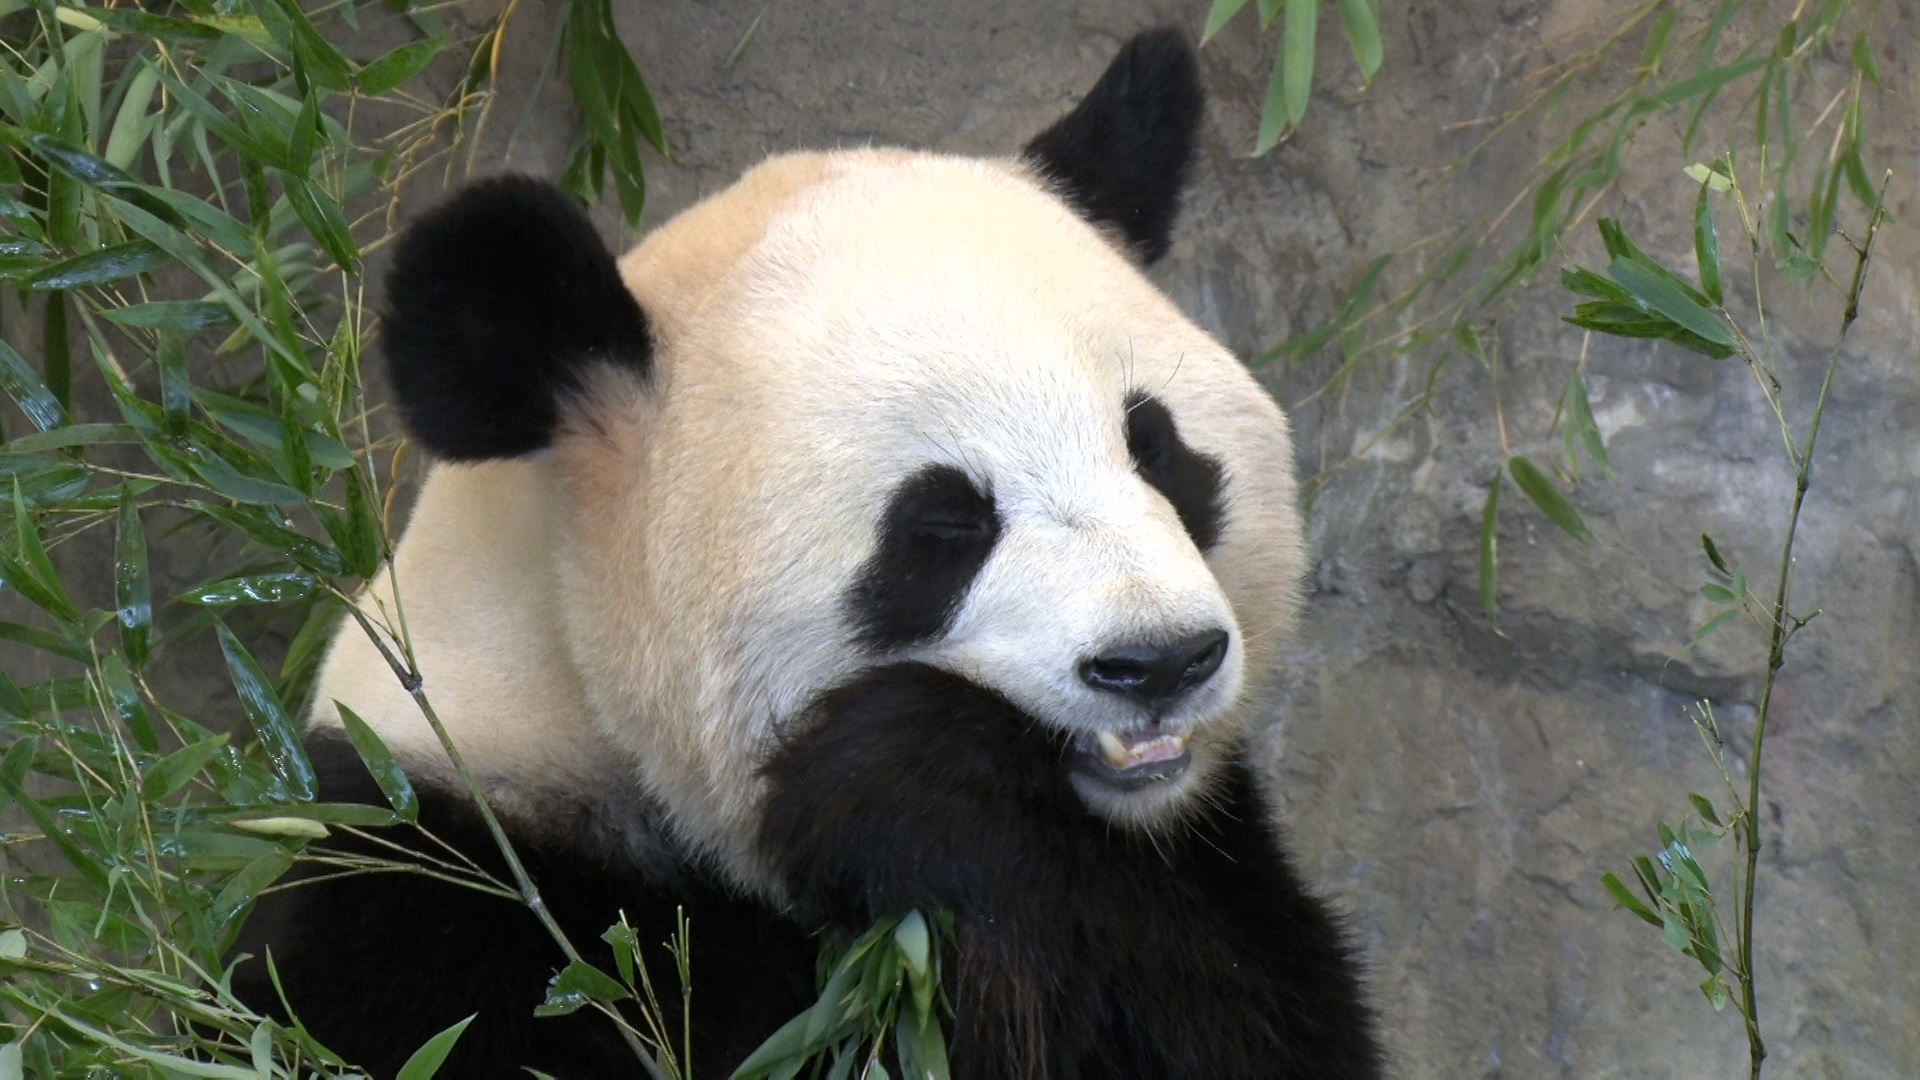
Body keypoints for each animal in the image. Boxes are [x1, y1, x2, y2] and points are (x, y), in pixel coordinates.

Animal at [236, 29, 1382, 1068]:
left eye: (1158, 451)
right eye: (944, 527)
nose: (1159, 662)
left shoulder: (1193, 847)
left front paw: (909, 782)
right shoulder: (432, 882)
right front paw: (915, 773)